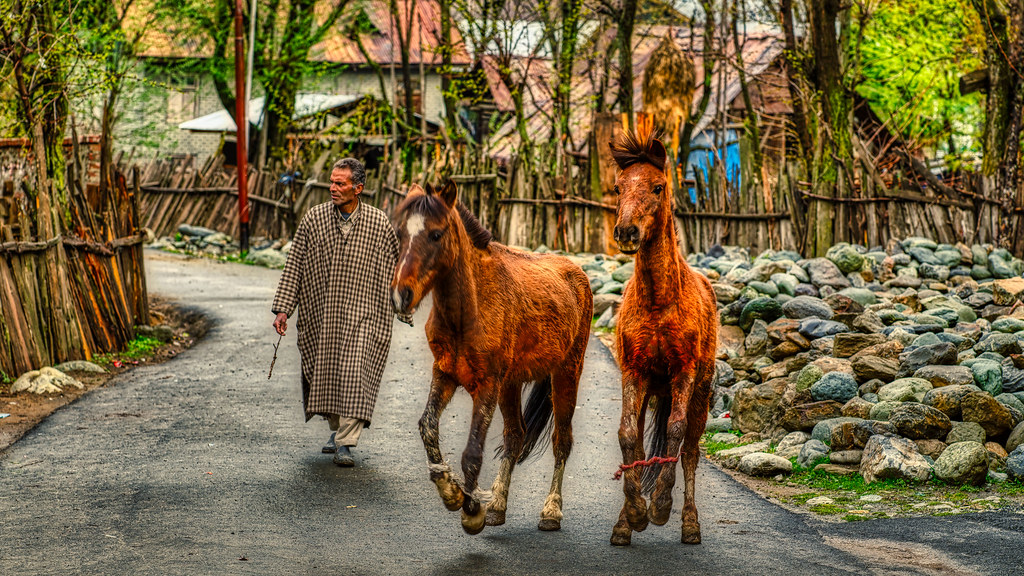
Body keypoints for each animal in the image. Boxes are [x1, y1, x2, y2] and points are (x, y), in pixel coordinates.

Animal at [390, 180, 593, 535]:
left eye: (436, 234)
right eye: (400, 234)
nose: (402, 295)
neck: (469, 309)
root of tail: (575, 271)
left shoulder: (486, 385)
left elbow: (472, 452)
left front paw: (471, 509)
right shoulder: (444, 373)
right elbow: (427, 426)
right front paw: (450, 490)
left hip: (566, 374)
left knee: (561, 441)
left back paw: (551, 511)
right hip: (511, 384)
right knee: (515, 437)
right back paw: (498, 505)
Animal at [608, 119, 718, 546]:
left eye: (657, 187)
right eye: (618, 187)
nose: (626, 232)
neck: (658, 302)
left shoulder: (683, 373)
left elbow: (675, 431)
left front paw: (659, 507)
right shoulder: (633, 372)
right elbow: (627, 437)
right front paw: (634, 515)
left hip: (700, 392)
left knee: (690, 450)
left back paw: (689, 523)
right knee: (639, 440)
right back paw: (626, 521)